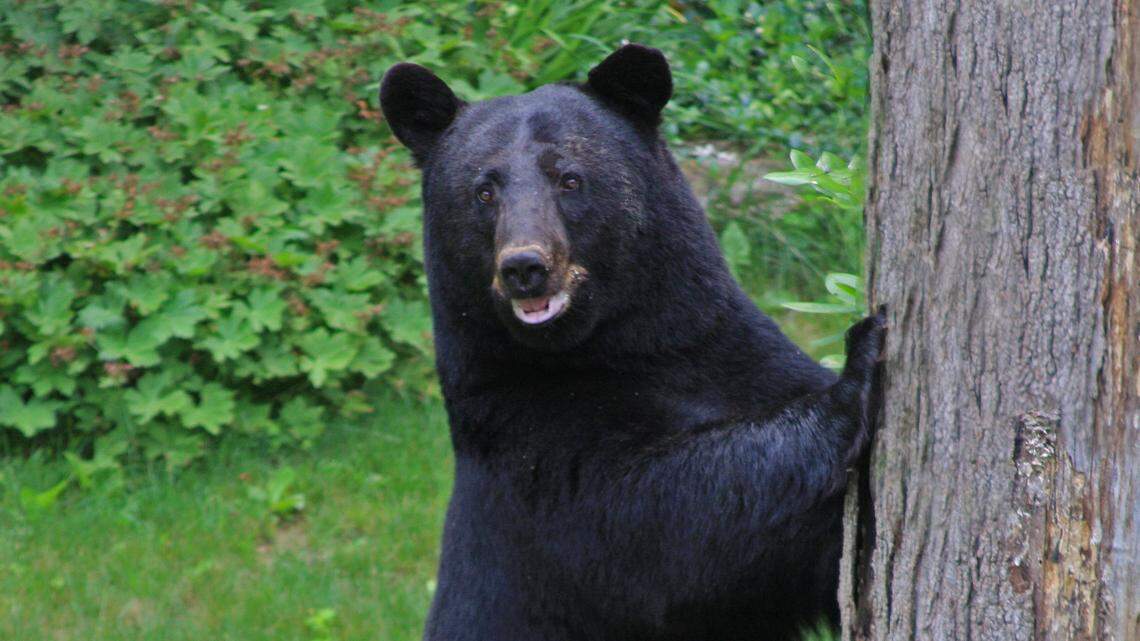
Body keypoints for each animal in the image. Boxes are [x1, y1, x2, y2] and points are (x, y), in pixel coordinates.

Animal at [379, 44, 885, 641]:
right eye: (483, 191)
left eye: (569, 179)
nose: (524, 267)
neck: (619, 348)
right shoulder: (526, 447)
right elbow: (669, 525)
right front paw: (857, 369)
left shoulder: (738, 355)